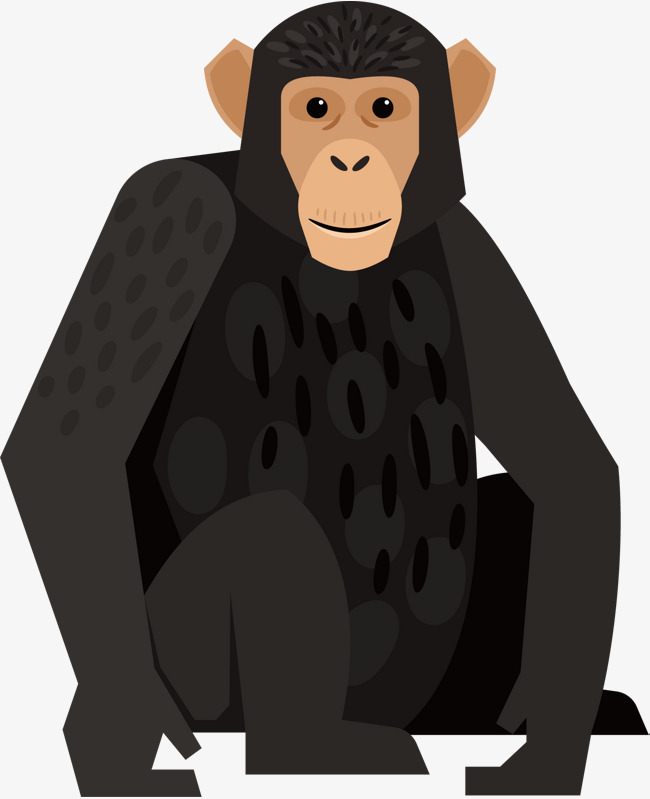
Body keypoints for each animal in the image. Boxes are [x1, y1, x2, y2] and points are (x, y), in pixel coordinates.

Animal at [1, 2, 646, 797]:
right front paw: (121, 727)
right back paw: (300, 746)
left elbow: (569, 466)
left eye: (383, 109)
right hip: (199, 674)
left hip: (434, 694)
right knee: (271, 533)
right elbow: (65, 449)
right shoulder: (170, 204)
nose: (349, 160)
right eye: (314, 109)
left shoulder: (475, 251)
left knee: (524, 507)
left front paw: (552, 746)